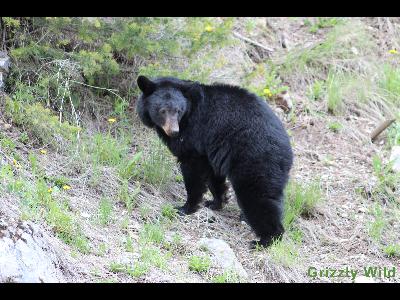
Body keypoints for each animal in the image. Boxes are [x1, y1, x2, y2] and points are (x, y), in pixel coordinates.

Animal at [138, 75, 294, 248]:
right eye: (163, 111)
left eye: (178, 111)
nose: (174, 132)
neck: (189, 111)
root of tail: (287, 151)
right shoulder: (210, 148)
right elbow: (213, 175)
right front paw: (216, 202)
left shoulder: (194, 134)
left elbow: (193, 171)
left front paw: (186, 207)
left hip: (256, 161)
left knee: (257, 195)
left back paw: (266, 239)